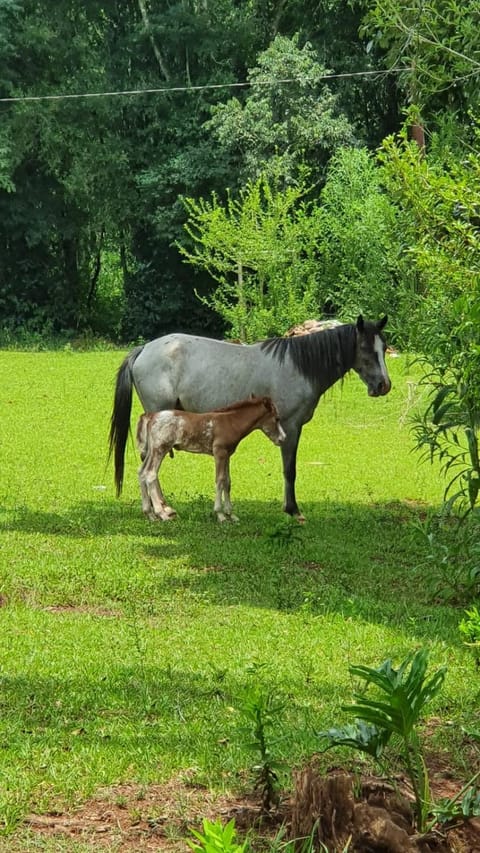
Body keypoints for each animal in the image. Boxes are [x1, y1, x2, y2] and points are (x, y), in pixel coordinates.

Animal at [135, 396, 284, 524]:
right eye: (277, 419)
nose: (282, 439)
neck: (231, 423)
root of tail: (151, 416)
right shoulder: (219, 453)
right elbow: (220, 481)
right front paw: (220, 515)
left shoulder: (227, 455)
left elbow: (227, 482)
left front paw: (231, 515)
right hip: (160, 449)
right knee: (150, 474)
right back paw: (162, 514)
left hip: (152, 451)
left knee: (141, 472)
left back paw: (149, 514)